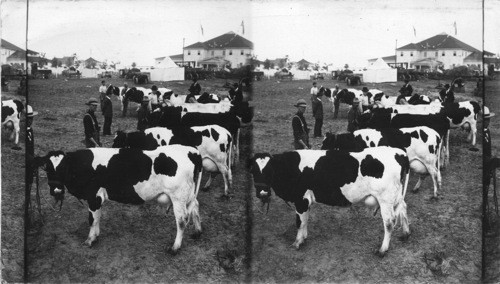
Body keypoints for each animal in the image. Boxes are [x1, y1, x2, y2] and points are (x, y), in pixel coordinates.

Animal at [34, 145, 203, 254]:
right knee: (195, 206)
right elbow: (97, 217)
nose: (56, 190)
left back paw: (175, 247)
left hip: (178, 197)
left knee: (181, 220)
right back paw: (197, 232)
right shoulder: (97, 199)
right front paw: (96, 236)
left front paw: (90, 240)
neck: (83, 165)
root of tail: (193, 151)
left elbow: (92, 219)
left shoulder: (93, 197)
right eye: (47, 168)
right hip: (189, 195)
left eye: (63, 167)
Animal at [249, 148, 410, 256]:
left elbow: (299, 222)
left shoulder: (301, 200)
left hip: (385, 199)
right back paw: (405, 234)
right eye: (254, 171)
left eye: (270, 171)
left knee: (389, 223)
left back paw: (382, 250)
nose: (263, 193)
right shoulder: (306, 202)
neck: (291, 168)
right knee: (403, 208)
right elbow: (305, 220)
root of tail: (399, 153)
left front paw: (297, 242)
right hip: (396, 195)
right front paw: (304, 238)